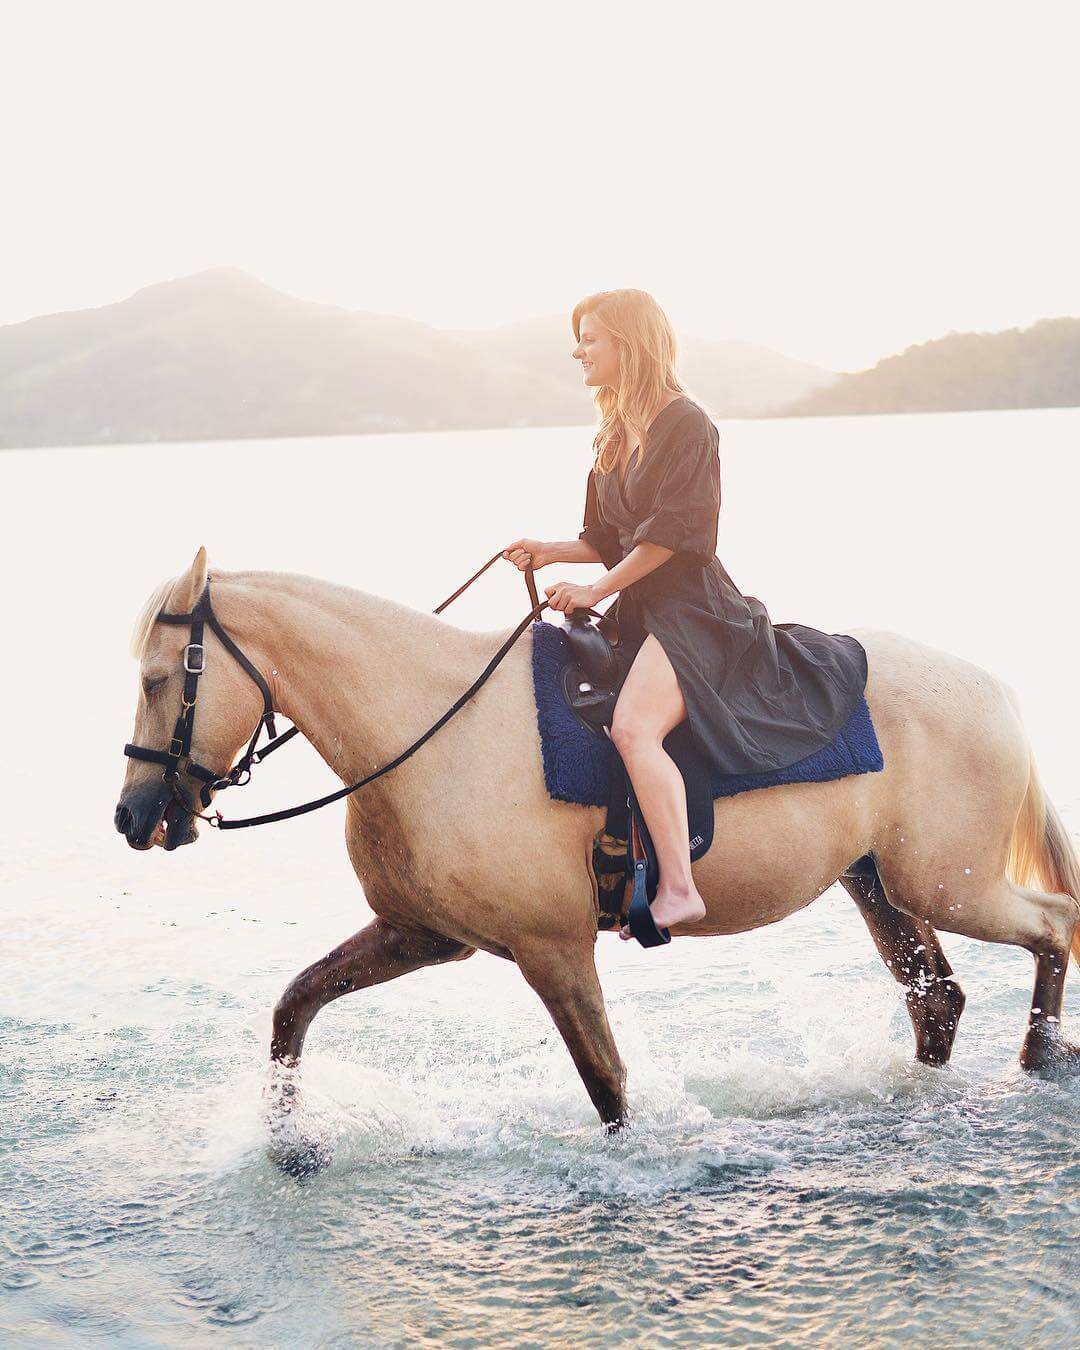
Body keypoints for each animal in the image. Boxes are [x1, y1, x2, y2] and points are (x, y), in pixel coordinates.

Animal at [116, 553, 1080, 1155]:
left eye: (158, 679)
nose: (133, 816)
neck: (431, 723)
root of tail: (996, 690)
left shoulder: (552, 950)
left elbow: (608, 1086)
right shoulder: (419, 934)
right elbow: (294, 1008)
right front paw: (289, 1146)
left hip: (949, 885)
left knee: (1053, 925)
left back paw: (1040, 1062)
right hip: (877, 882)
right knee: (938, 999)